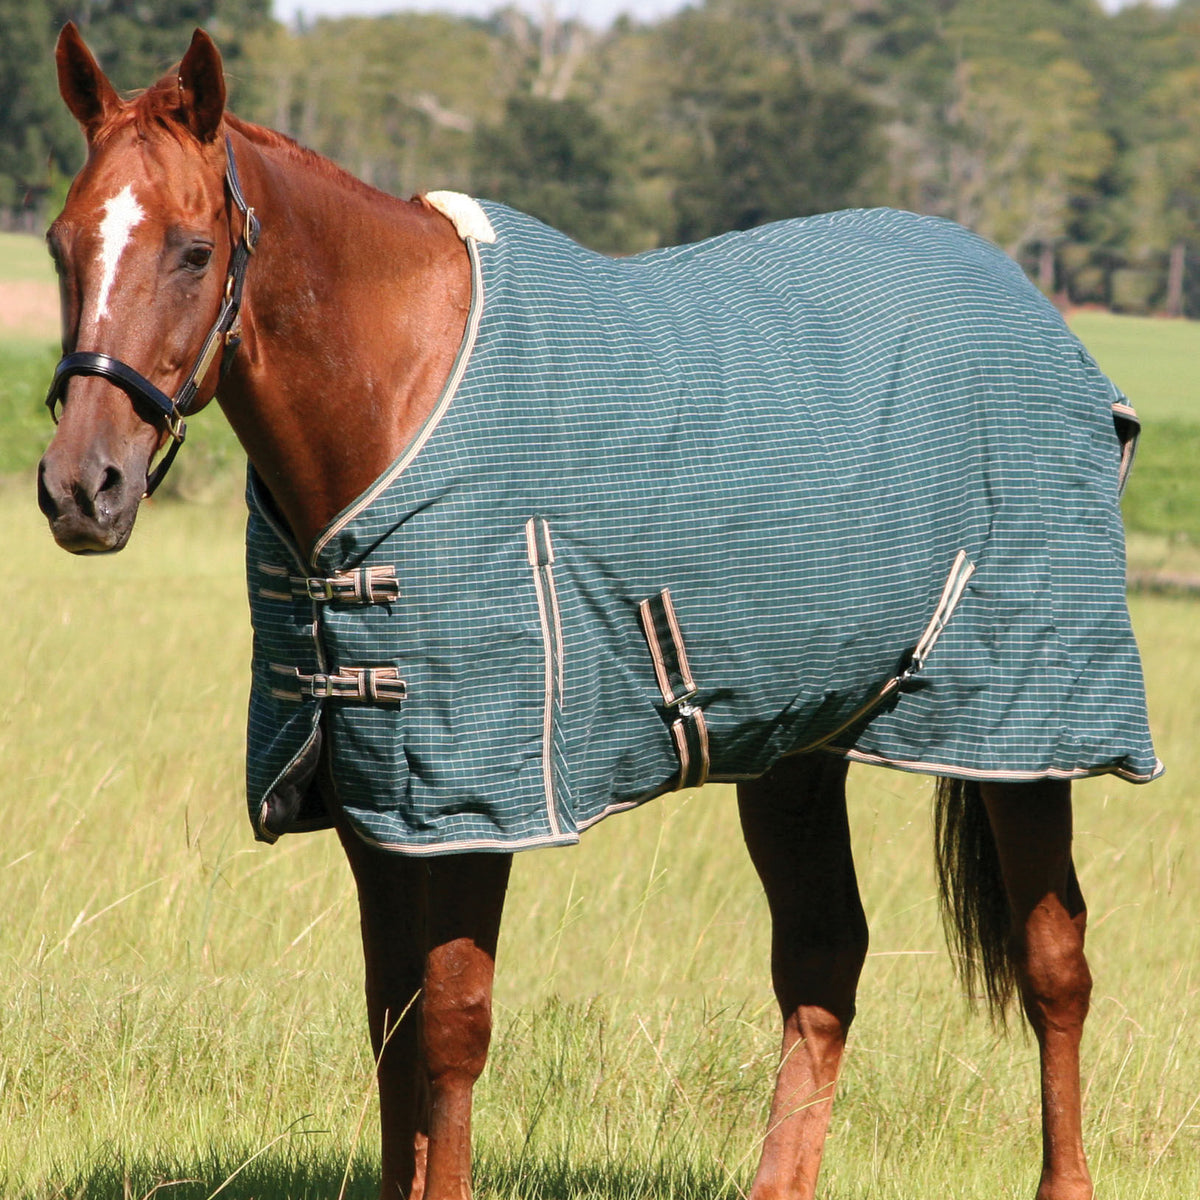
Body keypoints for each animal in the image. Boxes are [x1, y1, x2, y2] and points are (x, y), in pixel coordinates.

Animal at [37, 24, 1161, 1200]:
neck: (402, 395)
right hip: (796, 748)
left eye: (191, 251)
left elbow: (451, 1028)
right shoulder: (374, 802)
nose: (82, 487)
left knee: (1054, 963)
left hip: (1027, 736)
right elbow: (393, 1027)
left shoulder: (475, 801)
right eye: (63, 244)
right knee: (824, 960)